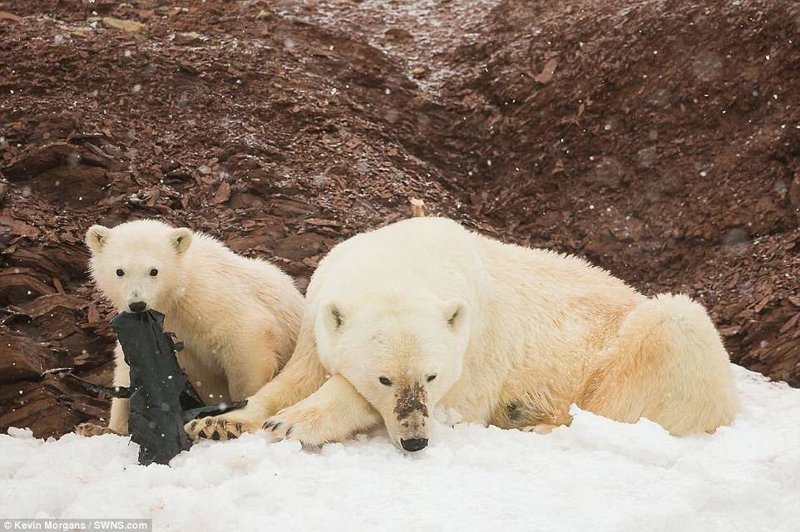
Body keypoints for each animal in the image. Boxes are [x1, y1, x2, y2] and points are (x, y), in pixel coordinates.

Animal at [188, 218, 736, 450]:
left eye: (431, 377)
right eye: (386, 378)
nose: (415, 442)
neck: (403, 259)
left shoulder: (475, 348)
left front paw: (291, 424)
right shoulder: (317, 314)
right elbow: (298, 374)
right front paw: (221, 423)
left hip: (641, 341)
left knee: (663, 340)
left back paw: (539, 425)